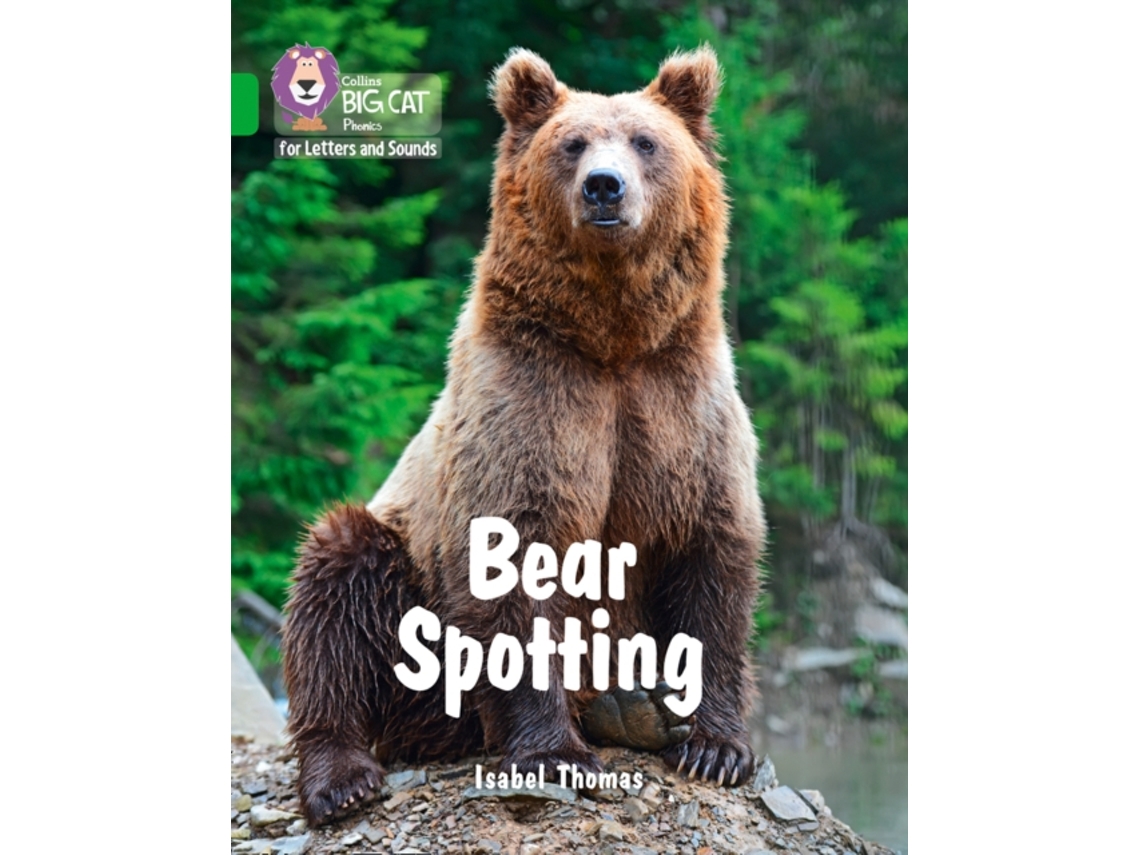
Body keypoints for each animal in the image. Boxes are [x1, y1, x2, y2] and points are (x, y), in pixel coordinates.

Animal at [282, 45, 766, 827]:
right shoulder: (529, 403)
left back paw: (630, 708)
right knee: (335, 587)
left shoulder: (681, 408)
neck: (612, 340)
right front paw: (555, 754)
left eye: (645, 141)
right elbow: (513, 561)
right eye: (572, 144)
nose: (604, 187)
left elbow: (713, 559)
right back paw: (342, 775)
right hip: (403, 586)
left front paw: (716, 746)